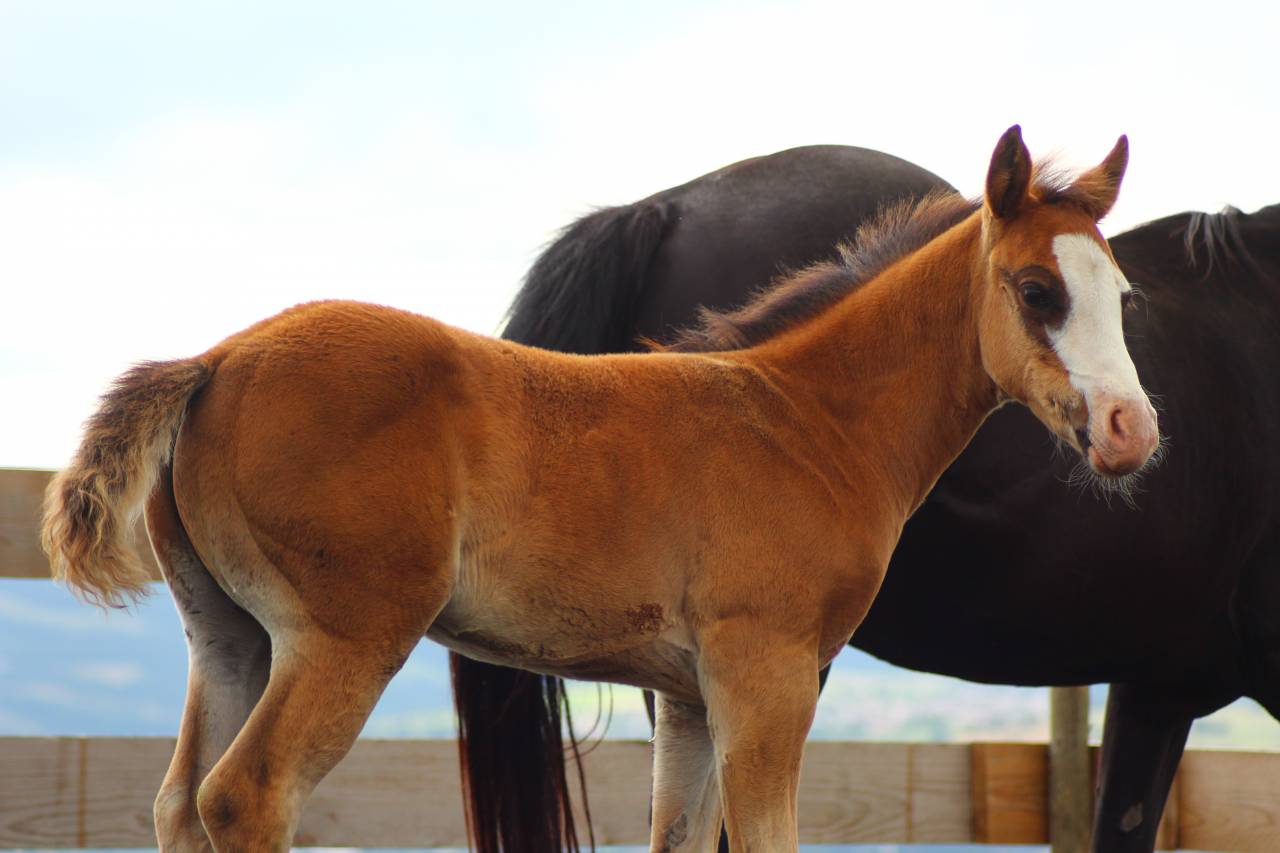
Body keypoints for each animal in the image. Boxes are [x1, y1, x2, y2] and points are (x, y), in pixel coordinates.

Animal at [42, 127, 1156, 852]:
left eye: (1122, 294)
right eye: (1036, 291)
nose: (1129, 430)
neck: (806, 421)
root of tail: (216, 359)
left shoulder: (691, 694)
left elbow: (680, 837)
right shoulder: (770, 673)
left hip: (229, 635)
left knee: (181, 803)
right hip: (342, 636)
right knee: (248, 796)